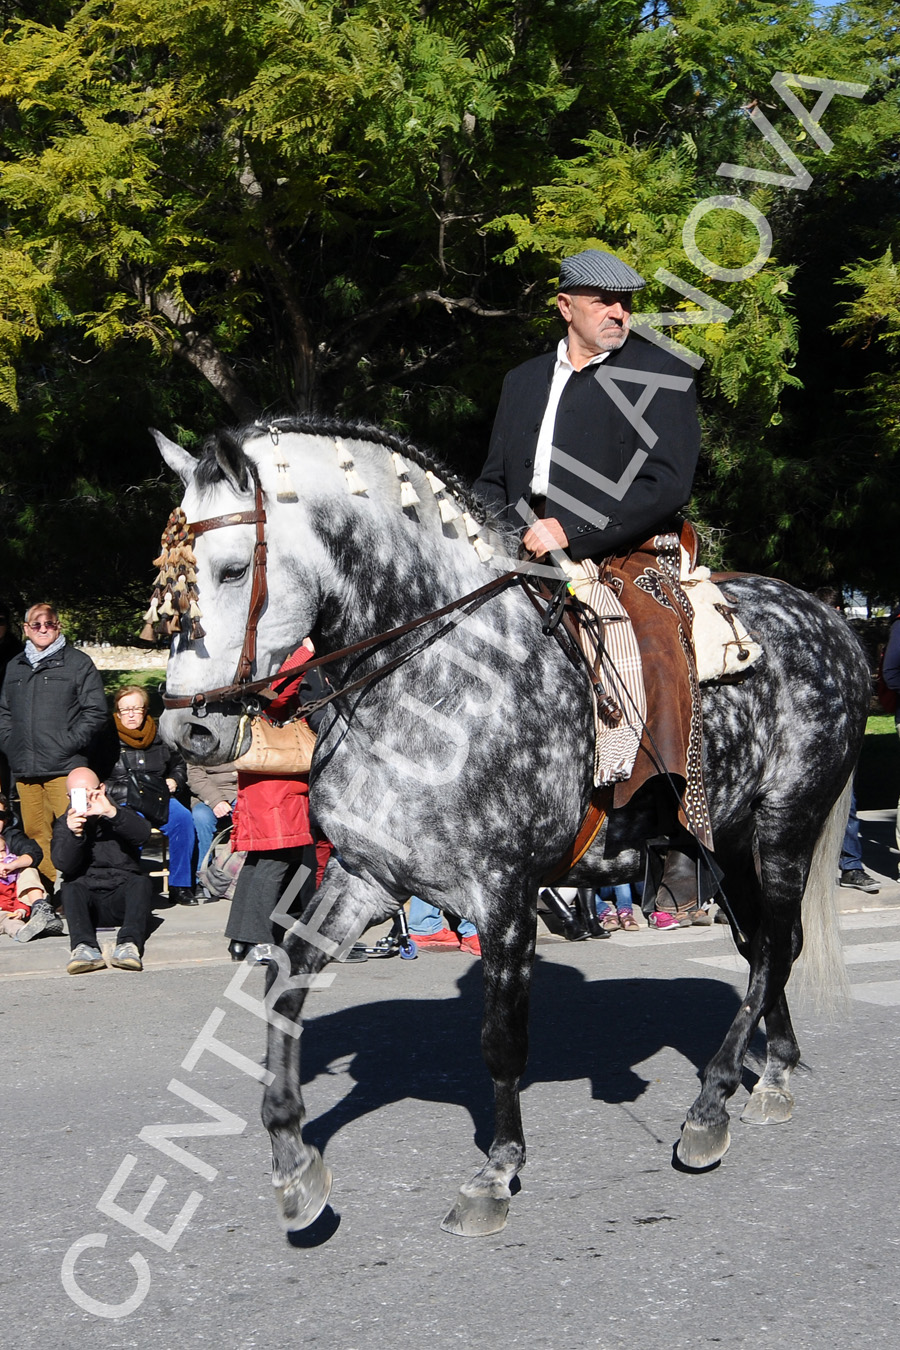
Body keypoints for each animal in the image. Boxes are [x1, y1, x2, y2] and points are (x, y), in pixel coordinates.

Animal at [156, 418, 874, 1236]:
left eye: (232, 569)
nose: (188, 730)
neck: (433, 684)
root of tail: (831, 621)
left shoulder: (503, 892)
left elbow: (501, 1039)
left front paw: (496, 1172)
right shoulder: (365, 876)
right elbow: (284, 987)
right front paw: (294, 1163)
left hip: (784, 826)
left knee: (774, 951)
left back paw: (712, 1102)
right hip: (727, 845)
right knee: (764, 947)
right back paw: (774, 1071)